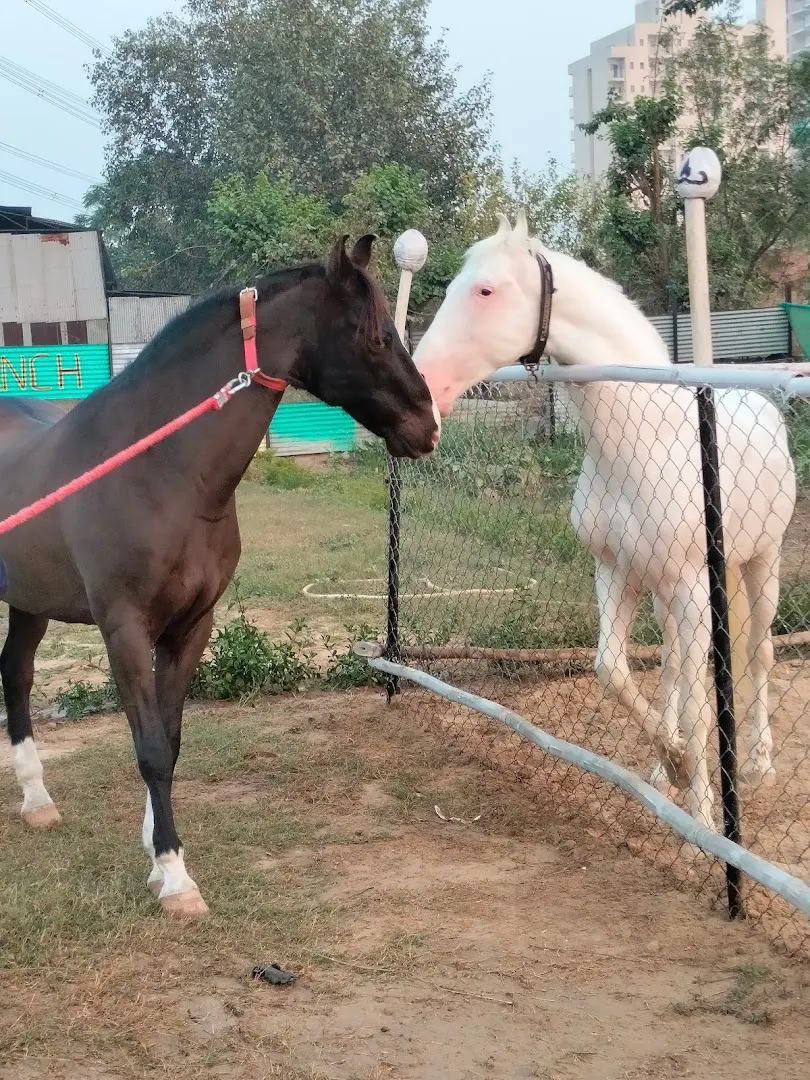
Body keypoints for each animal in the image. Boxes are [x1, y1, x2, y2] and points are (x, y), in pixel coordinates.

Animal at [0, 234, 440, 917]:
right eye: (373, 336)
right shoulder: (124, 630)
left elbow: (171, 739)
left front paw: (156, 855)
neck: (161, 471)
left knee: (15, 674)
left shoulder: (190, 626)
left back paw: (38, 802)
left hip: (30, 599)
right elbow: (151, 749)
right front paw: (176, 878)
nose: (429, 425)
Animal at [413, 212, 796, 831]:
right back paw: (666, 770)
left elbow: (700, 702)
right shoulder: (617, 573)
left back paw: (760, 764)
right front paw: (676, 762)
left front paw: (703, 816)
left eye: (486, 291)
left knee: (758, 653)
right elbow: (613, 670)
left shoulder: (693, 586)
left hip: (762, 562)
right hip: (668, 595)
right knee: (671, 662)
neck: (647, 437)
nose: (423, 386)